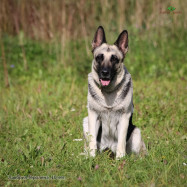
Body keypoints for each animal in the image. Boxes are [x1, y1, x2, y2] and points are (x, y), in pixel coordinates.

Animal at [83, 25, 146, 159]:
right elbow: (92, 141)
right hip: (85, 122)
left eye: (115, 59)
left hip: (136, 133)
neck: (108, 92)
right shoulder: (93, 116)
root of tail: (108, 148)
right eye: (99, 57)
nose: (105, 73)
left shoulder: (124, 118)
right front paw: (91, 157)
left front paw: (120, 159)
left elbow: (121, 141)